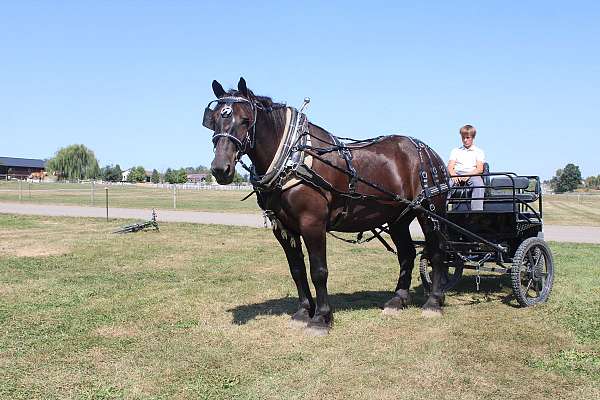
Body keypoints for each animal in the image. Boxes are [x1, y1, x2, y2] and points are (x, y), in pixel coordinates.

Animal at [209, 78, 448, 334]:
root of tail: (430, 152)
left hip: (429, 213)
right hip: (398, 219)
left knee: (437, 252)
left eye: (245, 119)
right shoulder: (282, 227)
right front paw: (304, 312)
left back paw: (434, 302)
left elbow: (318, 271)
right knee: (407, 254)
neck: (293, 158)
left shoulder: (312, 223)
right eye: (214, 120)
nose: (220, 169)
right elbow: (297, 270)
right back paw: (397, 300)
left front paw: (321, 318)